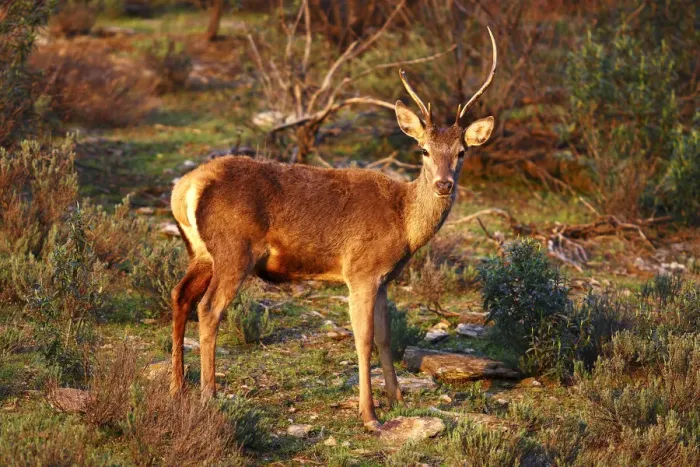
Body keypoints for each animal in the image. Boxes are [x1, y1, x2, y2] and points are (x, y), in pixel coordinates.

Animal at [169, 27, 497, 431]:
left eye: (462, 152)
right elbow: (363, 339)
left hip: (201, 252)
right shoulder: (360, 269)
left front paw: (397, 398)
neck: (404, 224)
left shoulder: (383, 278)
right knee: (209, 308)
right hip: (234, 250)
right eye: (423, 150)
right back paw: (209, 395)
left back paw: (177, 389)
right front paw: (369, 415)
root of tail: (186, 187)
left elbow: (386, 337)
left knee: (180, 295)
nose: (443, 184)